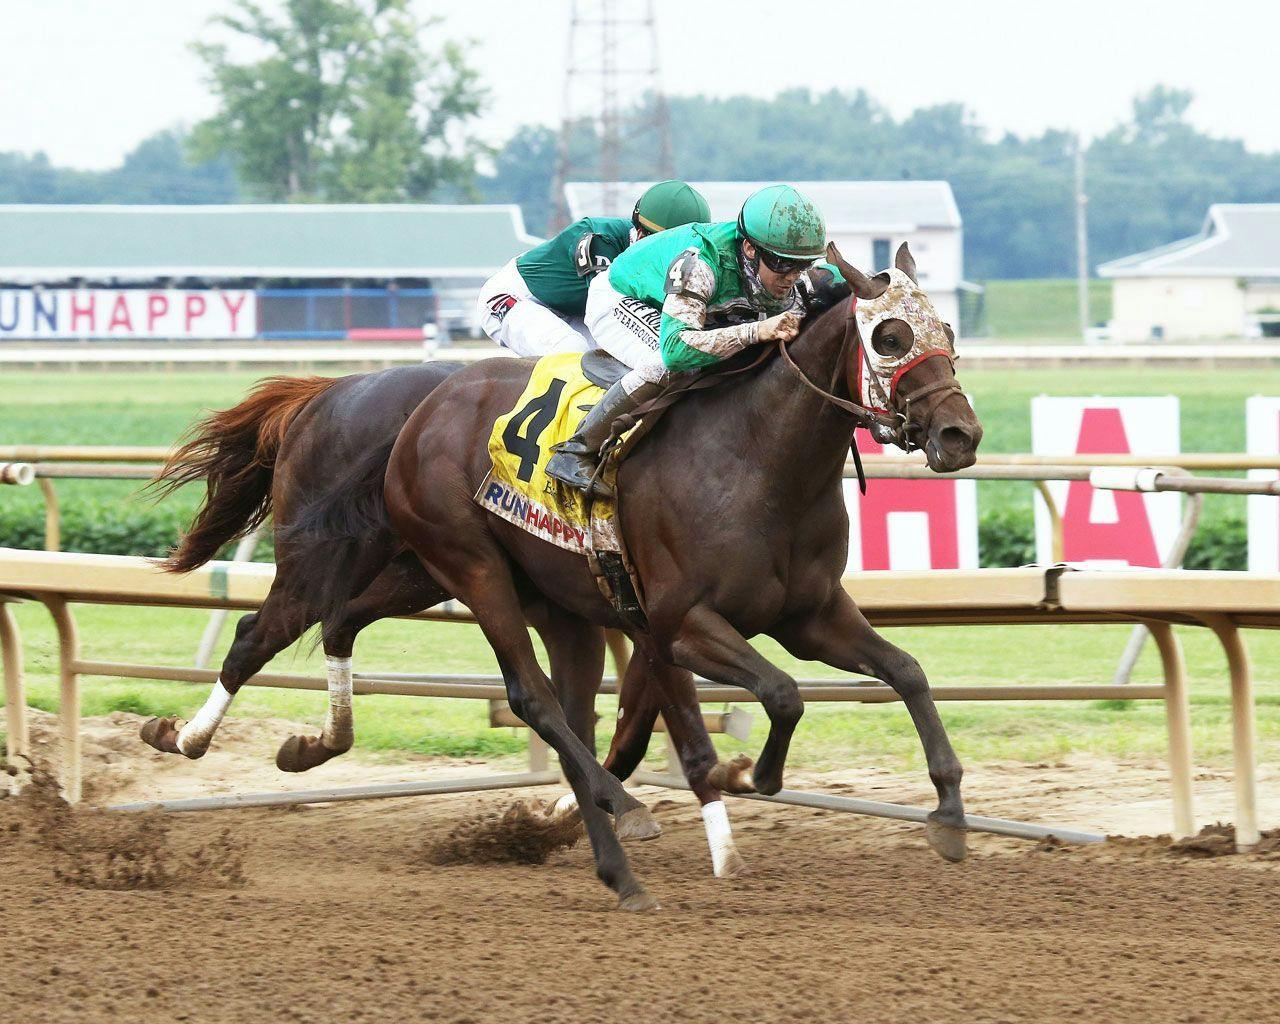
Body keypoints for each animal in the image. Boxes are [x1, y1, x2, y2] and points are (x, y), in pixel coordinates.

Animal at [373, 244, 983, 906]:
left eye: (948, 332)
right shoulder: (678, 625)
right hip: (476, 568)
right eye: (890, 337)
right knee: (533, 699)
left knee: (575, 717)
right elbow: (780, 694)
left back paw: (618, 871)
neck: (758, 460)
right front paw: (745, 774)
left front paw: (950, 815)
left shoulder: (810, 616)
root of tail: (426, 406)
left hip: (561, 607)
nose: (961, 434)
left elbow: (907, 672)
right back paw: (625, 809)